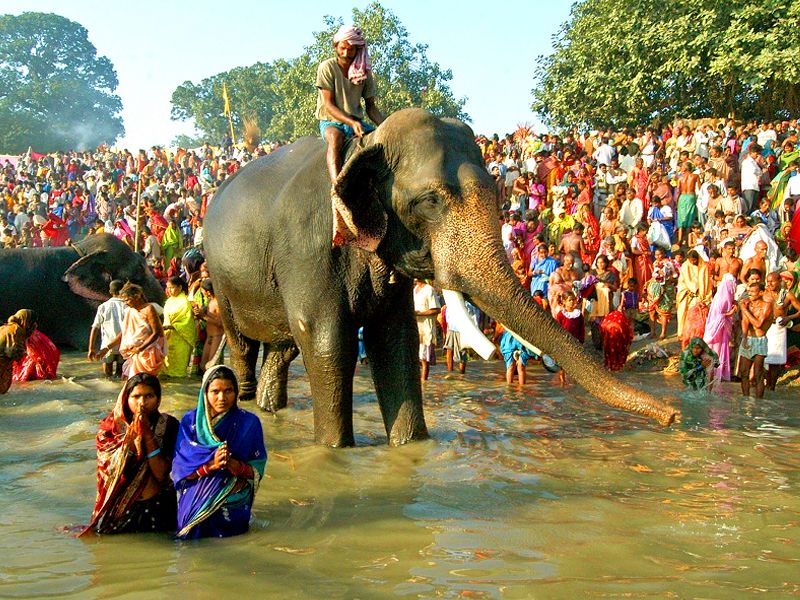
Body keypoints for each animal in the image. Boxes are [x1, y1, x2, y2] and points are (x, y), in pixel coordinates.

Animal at [203, 106, 680, 446]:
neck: (366, 143)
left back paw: (269, 408)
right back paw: (243, 406)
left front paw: (412, 446)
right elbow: (327, 344)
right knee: (245, 346)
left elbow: (395, 343)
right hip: (222, 276)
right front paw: (334, 451)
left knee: (281, 350)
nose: (673, 416)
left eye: (497, 192)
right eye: (430, 201)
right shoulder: (310, 250)